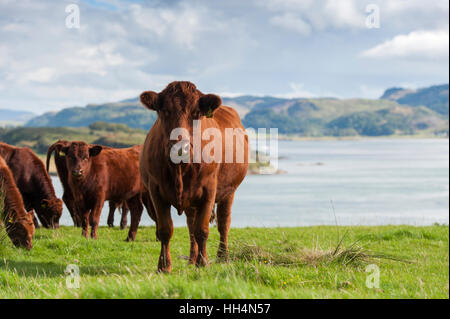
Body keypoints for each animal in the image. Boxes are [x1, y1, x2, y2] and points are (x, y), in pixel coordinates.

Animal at [139, 81, 248, 274]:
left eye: (196, 113)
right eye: (164, 110)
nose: (180, 146)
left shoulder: (209, 190)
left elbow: (202, 230)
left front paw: (203, 263)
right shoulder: (155, 190)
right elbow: (165, 229)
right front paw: (164, 266)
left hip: (229, 192)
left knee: (223, 222)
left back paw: (223, 256)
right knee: (191, 225)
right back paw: (191, 258)